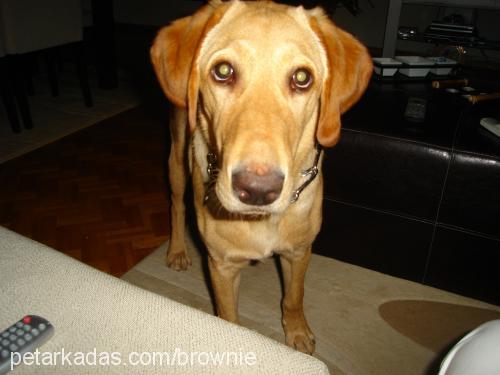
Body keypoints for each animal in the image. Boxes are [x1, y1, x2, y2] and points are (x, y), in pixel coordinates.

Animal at [150, 0, 370, 356]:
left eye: (302, 77)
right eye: (223, 71)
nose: (256, 190)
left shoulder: (299, 252)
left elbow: (293, 297)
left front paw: (297, 332)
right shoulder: (222, 266)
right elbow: (229, 318)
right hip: (177, 158)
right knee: (176, 205)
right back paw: (178, 251)